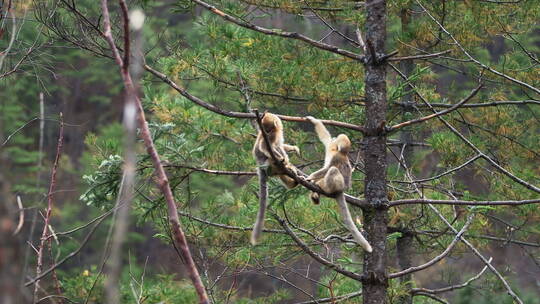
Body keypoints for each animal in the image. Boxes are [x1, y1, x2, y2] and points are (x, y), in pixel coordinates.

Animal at [252, 111, 302, 245]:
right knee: (273, 154)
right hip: (268, 164)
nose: (266, 131)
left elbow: (280, 146)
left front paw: (293, 148)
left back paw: (292, 181)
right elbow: (265, 147)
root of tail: (260, 168)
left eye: (267, 128)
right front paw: (283, 159)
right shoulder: (270, 137)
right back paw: (285, 164)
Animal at [306, 115, 374, 253]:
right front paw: (313, 120)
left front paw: (309, 178)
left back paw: (323, 188)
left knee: (332, 170)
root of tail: (341, 190)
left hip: (338, 185)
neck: (337, 151)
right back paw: (315, 194)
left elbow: (327, 169)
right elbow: (325, 136)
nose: (336, 140)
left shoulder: (336, 156)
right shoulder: (330, 145)